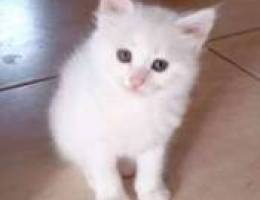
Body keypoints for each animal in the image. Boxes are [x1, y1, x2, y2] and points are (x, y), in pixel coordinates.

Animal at [49, 0, 215, 199]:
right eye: (124, 55)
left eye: (159, 65)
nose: (136, 81)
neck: (133, 106)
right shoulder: (97, 141)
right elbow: (107, 174)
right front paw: (112, 195)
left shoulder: (156, 140)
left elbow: (151, 169)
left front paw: (152, 191)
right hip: (68, 134)